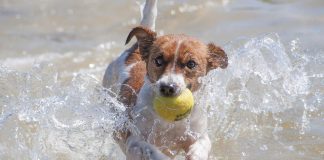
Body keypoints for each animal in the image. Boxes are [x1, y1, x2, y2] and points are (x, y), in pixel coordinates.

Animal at [104, 0, 228, 159]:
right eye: (158, 60)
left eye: (191, 64)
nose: (168, 87)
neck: (170, 123)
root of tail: (135, 49)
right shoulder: (134, 141)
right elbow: (150, 150)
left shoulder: (199, 136)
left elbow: (200, 147)